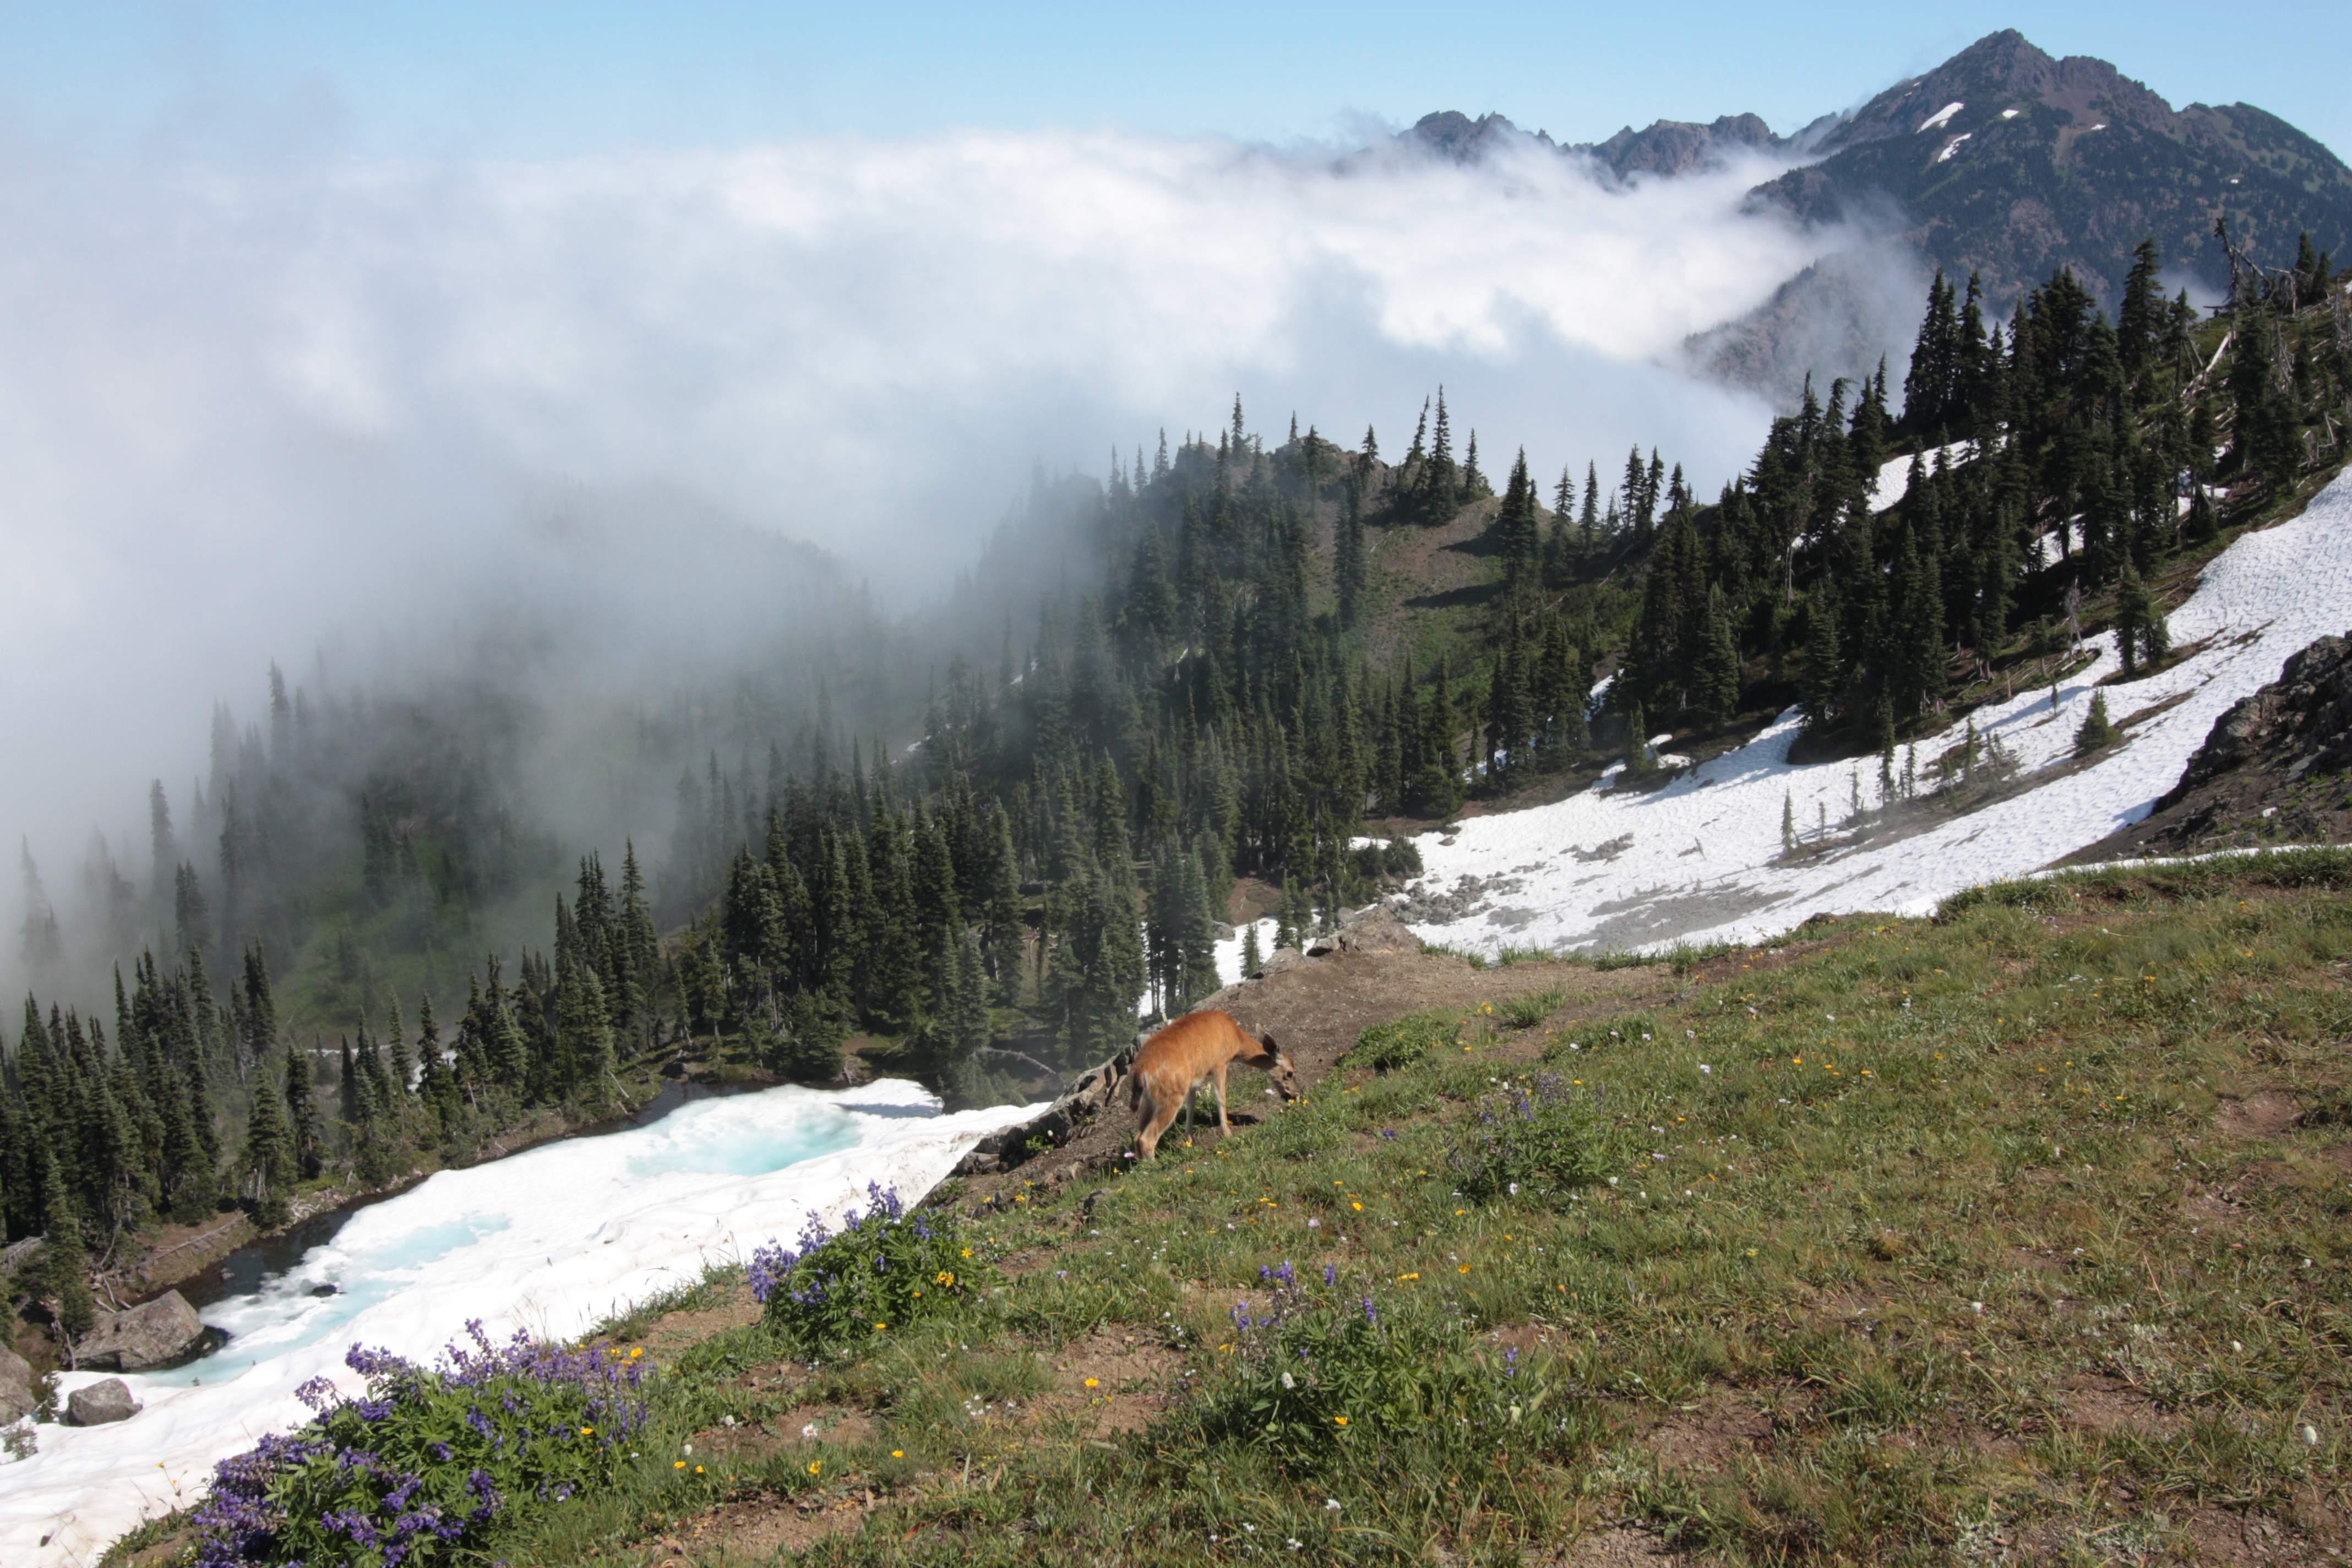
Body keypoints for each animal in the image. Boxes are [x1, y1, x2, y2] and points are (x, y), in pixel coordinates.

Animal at [1124, 1011, 1308, 1161]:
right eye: (1290, 1073)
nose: (1295, 1095)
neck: (1236, 1039)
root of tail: (1141, 1070)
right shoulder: (1219, 1063)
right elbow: (1221, 1097)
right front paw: (1226, 1134)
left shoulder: (1193, 1080)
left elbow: (1191, 1105)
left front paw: (1189, 1141)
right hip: (1171, 1095)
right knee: (1147, 1138)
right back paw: (1153, 1166)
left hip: (1150, 1100)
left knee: (1137, 1136)